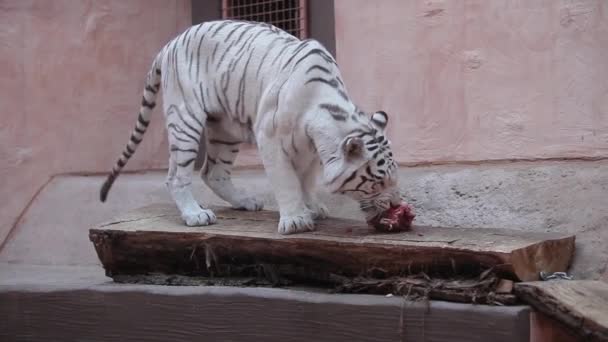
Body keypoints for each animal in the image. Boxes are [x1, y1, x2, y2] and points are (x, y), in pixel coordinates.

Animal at [100, 20, 404, 234]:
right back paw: (195, 214)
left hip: (225, 129)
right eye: (378, 182)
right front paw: (296, 219)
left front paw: (312, 207)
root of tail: (171, 43)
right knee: (177, 175)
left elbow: (305, 180)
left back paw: (246, 201)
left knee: (213, 172)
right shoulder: (270, 139)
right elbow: (286, 181)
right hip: (185, 119)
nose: (394, 205)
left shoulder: (311, 150)